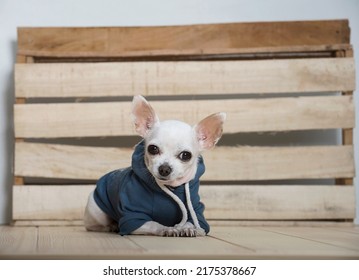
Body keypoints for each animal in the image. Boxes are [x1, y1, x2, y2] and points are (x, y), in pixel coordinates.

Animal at [83, 95, 225, 236]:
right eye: (153, 149)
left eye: (185, 155)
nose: (164, 169)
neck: (171, 187)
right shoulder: (134, 216)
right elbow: (153, 224)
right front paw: (167, 229)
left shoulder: (197, 211)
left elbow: (192, 222)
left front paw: (188, 228)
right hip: (97, 212)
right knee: (93, 225)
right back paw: (110, 226)